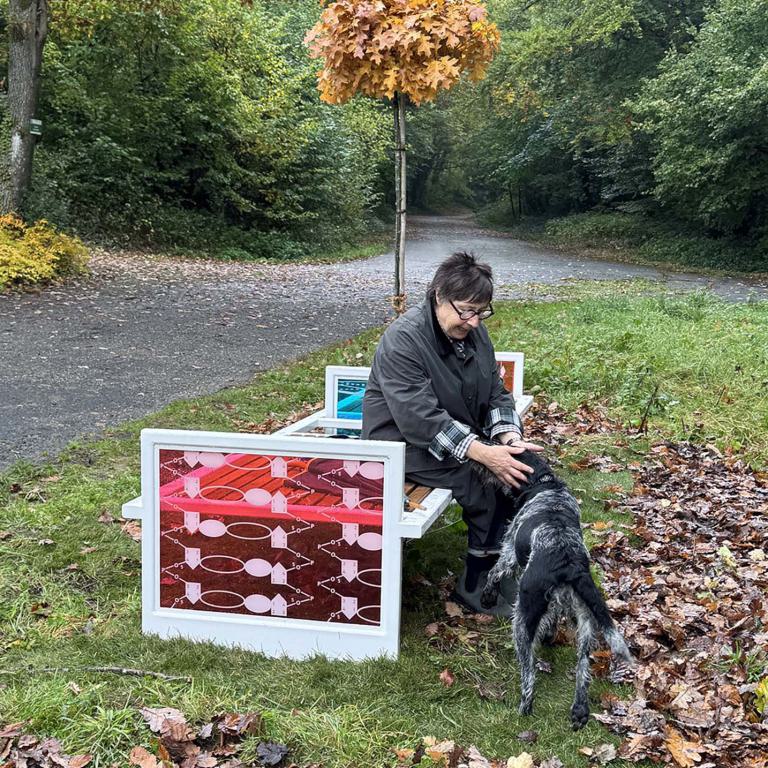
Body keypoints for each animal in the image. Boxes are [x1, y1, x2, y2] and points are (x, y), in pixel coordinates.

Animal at [476, 449, 633, 729]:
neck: (547, 485)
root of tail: (569, 563)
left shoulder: (509, 553)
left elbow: (495, 572)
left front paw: (488, 596)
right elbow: (552, 620)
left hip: (523, 616)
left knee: (528, 673)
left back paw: (523, 709)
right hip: (586, 623)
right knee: (583, 668)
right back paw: (579, 711)